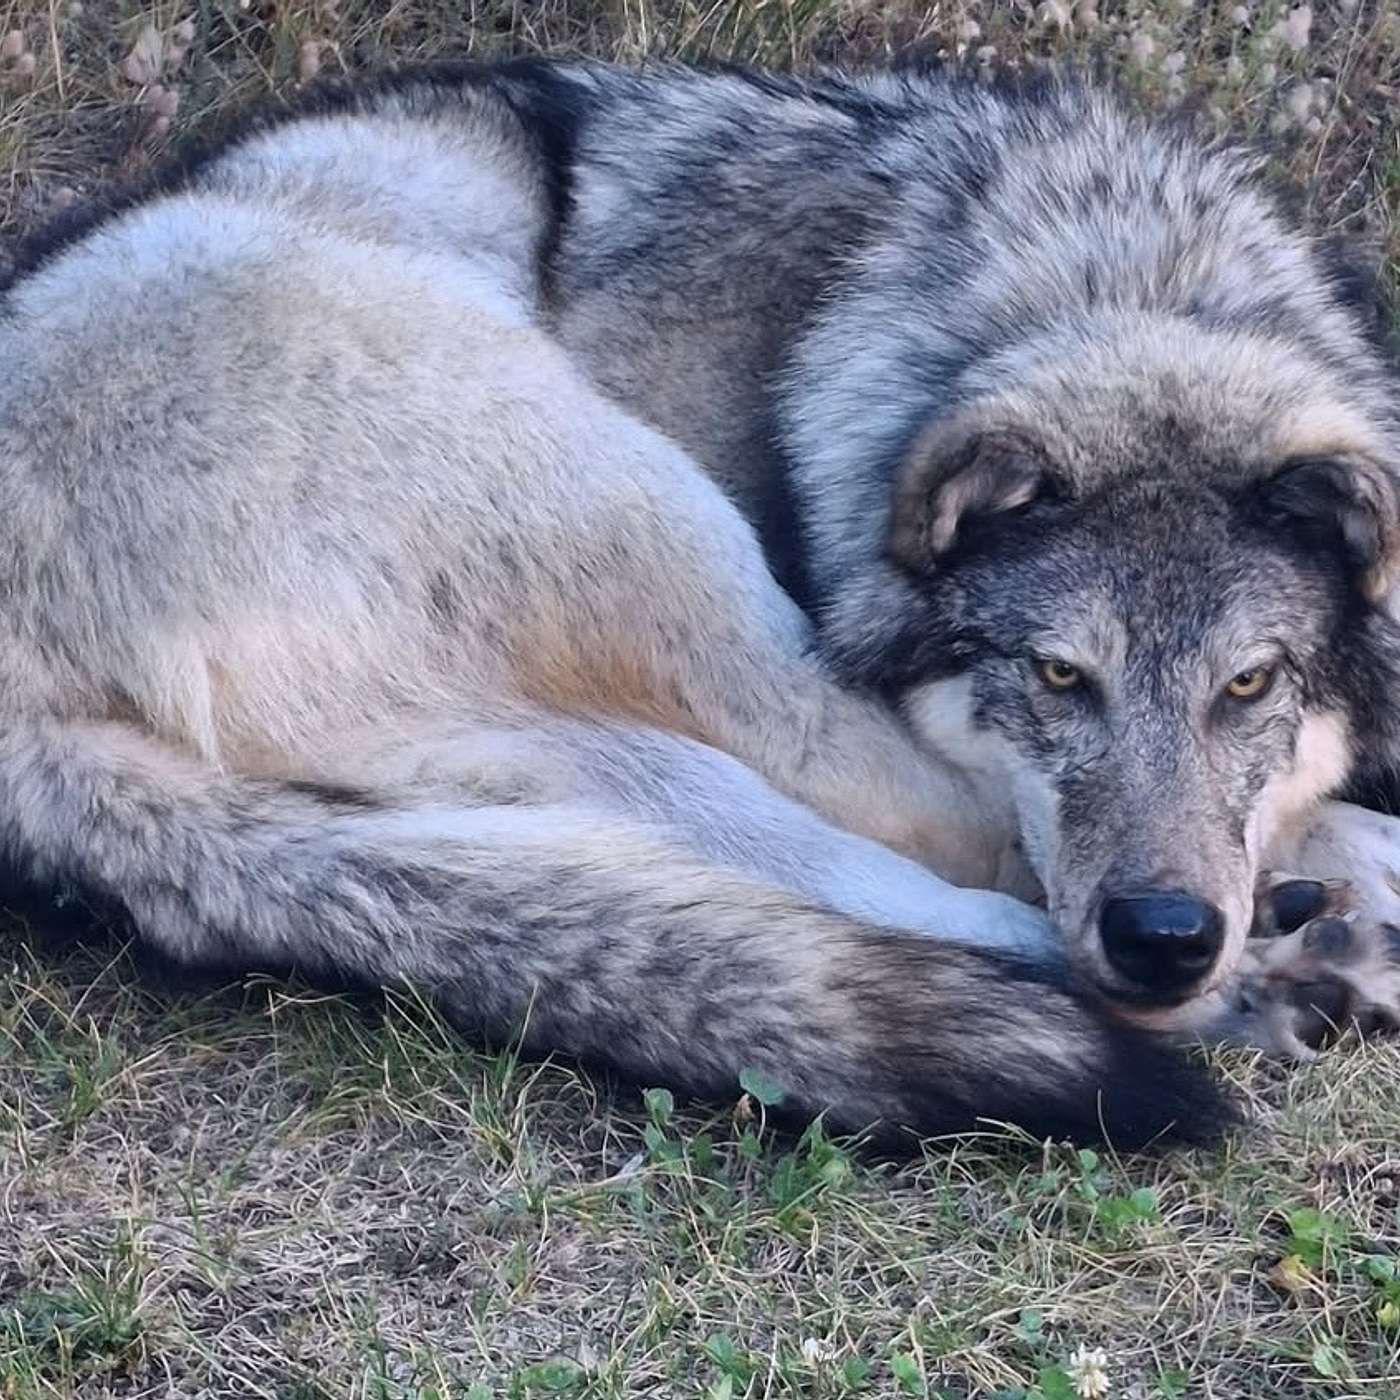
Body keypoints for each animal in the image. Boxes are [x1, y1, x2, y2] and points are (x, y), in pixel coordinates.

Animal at [1, 59, 1397, 1151]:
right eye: (1060, 675)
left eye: (1246, 683)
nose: (1163, 936)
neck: (1117, 278)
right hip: (676, 558)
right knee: (916, 845)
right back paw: (1246, 978)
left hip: (514, 737)